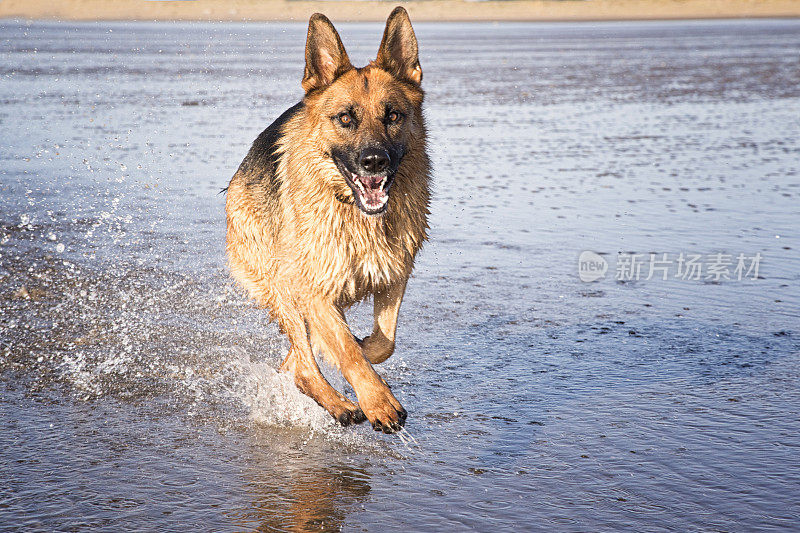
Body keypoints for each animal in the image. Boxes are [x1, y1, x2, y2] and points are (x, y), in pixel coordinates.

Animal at [225, 7, 428, 432]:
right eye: (345, 119)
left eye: (393, 115)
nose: (374, 162)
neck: (354, 212)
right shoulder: (314, 289)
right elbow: (349, 352)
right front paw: (379, 403)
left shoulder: (393, 273)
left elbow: (381, 343)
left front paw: (368, 353)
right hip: (283, 281)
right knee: (303, 366)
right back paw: (340, 405)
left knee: (296, 359)